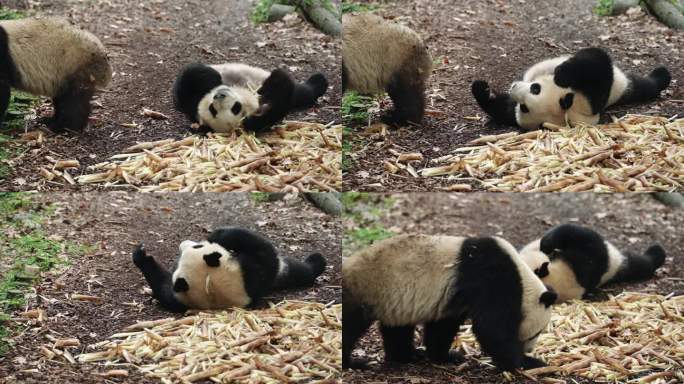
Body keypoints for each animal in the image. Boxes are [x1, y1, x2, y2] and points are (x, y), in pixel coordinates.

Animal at [133, 225, 328, 312]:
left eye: (196, 246)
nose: (183, 243)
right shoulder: (251, 273)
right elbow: (264, 251)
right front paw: (220, 236)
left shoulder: (179, 297)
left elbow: (164, 289)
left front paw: (141, 255)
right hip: (282, 273)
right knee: (298, 271)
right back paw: (317, 261)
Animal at [472, 46, 672, 130]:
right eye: (523, 107)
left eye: (535, 89)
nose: (513, 87)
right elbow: (505, 110)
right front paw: (482, 89)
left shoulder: (590, 100)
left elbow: (596, 61)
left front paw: (561, 74)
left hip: (622, 86)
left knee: (643, 87)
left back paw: (661, 75)